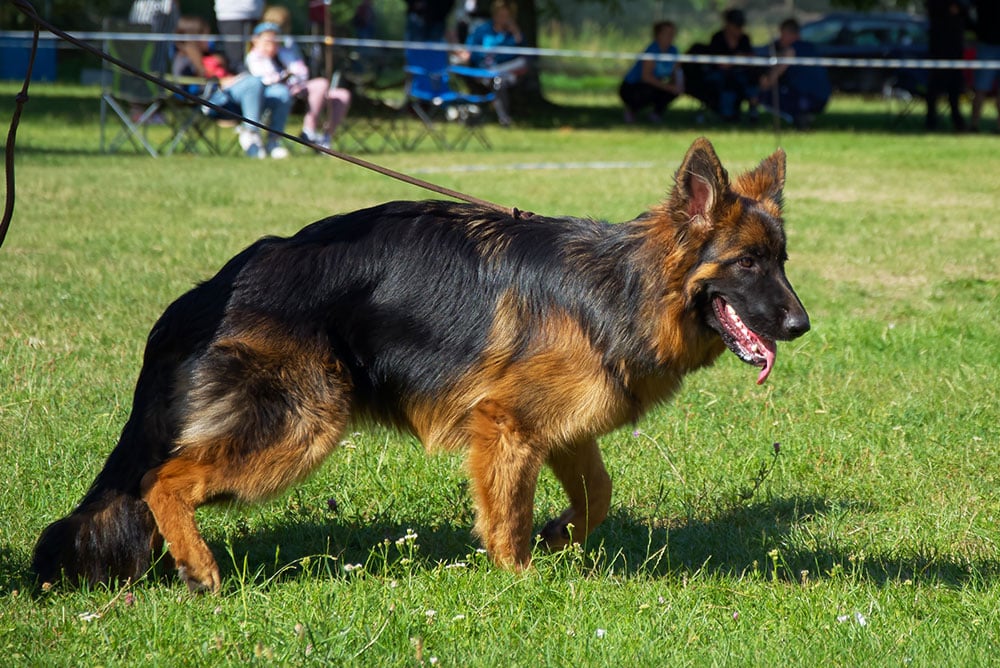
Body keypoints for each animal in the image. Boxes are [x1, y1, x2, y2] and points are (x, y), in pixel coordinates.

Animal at [33, 138, 812, 592]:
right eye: (747, 264)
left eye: (782, 261)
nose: (802, 326)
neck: (623, 287)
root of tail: (212, 288)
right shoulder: (505, 427)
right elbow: (508, 517)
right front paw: (521, 582)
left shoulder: (557, 427)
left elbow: (598, 495)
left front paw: (559, 538)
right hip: (297, 428)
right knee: (162, 479)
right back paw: (200, 570)